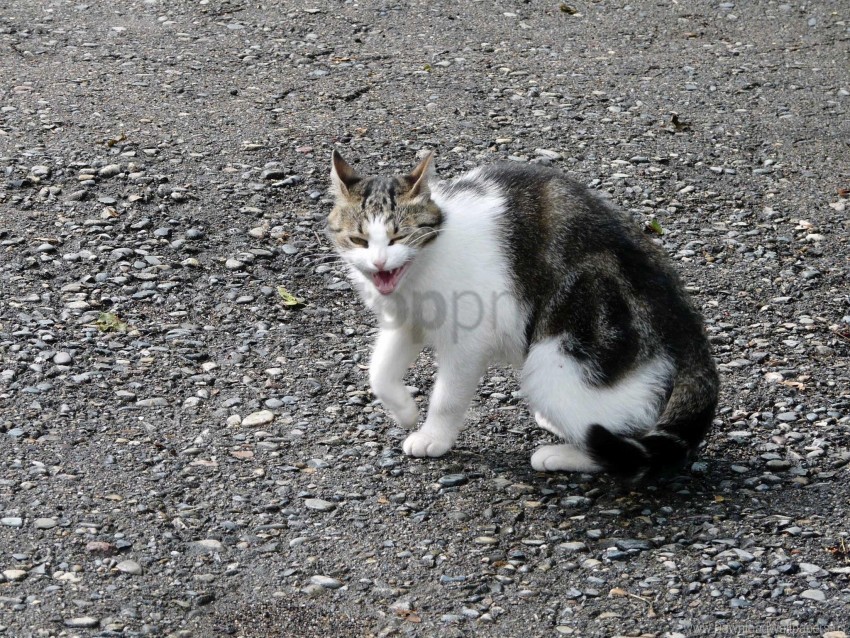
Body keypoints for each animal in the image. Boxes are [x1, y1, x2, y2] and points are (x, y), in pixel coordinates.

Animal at [324, 149, 716, 480]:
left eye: (398, 236)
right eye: (359, 240)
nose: (378, 263)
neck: (418, 272)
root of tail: (687, 327)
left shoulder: (468, 341)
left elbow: (448, 396)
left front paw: (433, 435)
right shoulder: (407, 322)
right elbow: (379, 373)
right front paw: (404, 411)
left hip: (555, 360)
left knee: (617, 447)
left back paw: (562, 454)